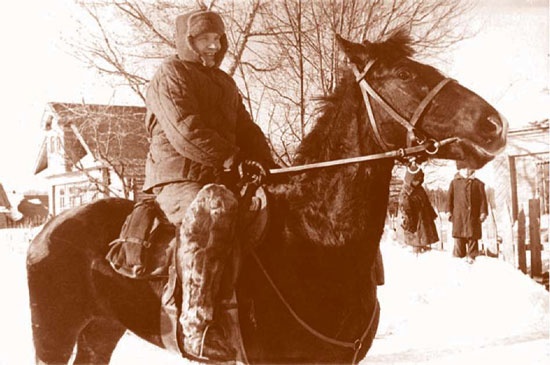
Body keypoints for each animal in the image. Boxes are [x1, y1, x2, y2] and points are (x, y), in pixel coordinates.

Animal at [27, 32, 508, 362]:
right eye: (406, 75)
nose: (494, 124)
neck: (316, 238)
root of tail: (49, 228)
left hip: (100, 330)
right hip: (54, 336)